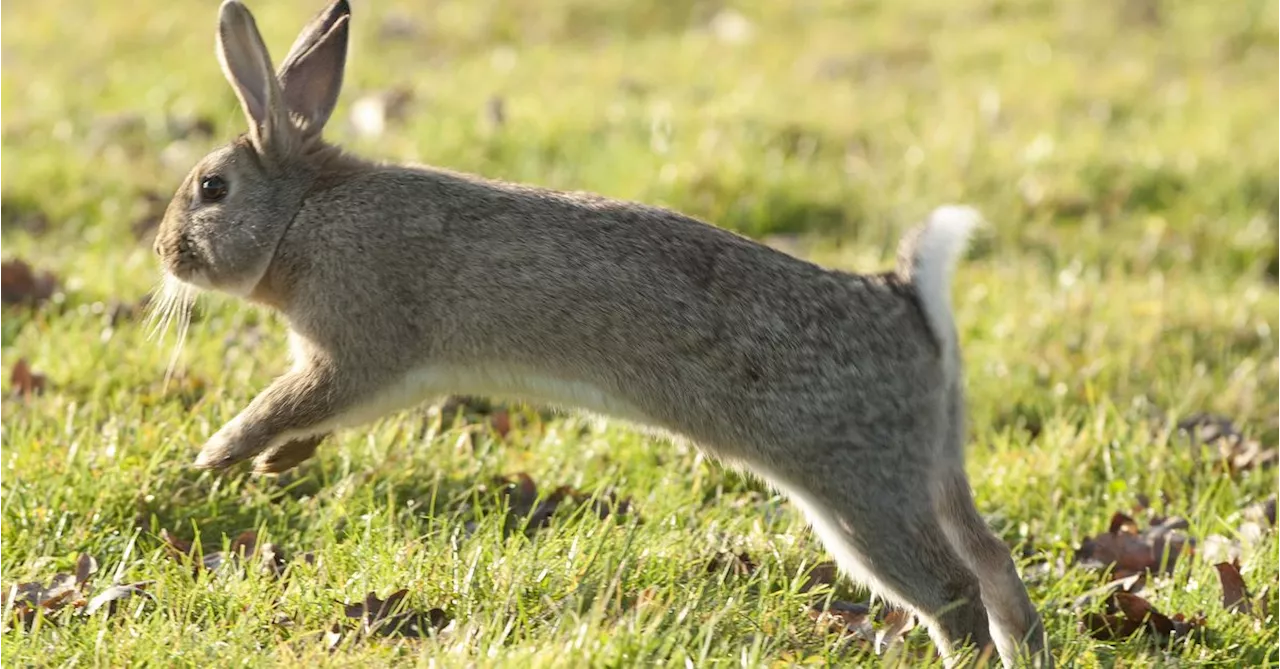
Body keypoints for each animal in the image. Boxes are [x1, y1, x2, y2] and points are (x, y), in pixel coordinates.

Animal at [149, 2, 1049, 665]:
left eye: (212, 188)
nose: (165, 251)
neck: (302, 212)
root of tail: (907, 300)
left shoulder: (355, 347)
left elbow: (286, 401)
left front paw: (216, 456)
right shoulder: (379, 376)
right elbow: (316, 416)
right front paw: (270, 464)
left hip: (861, 491)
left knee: (950, 588)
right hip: (931, 465)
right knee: (992, 559)